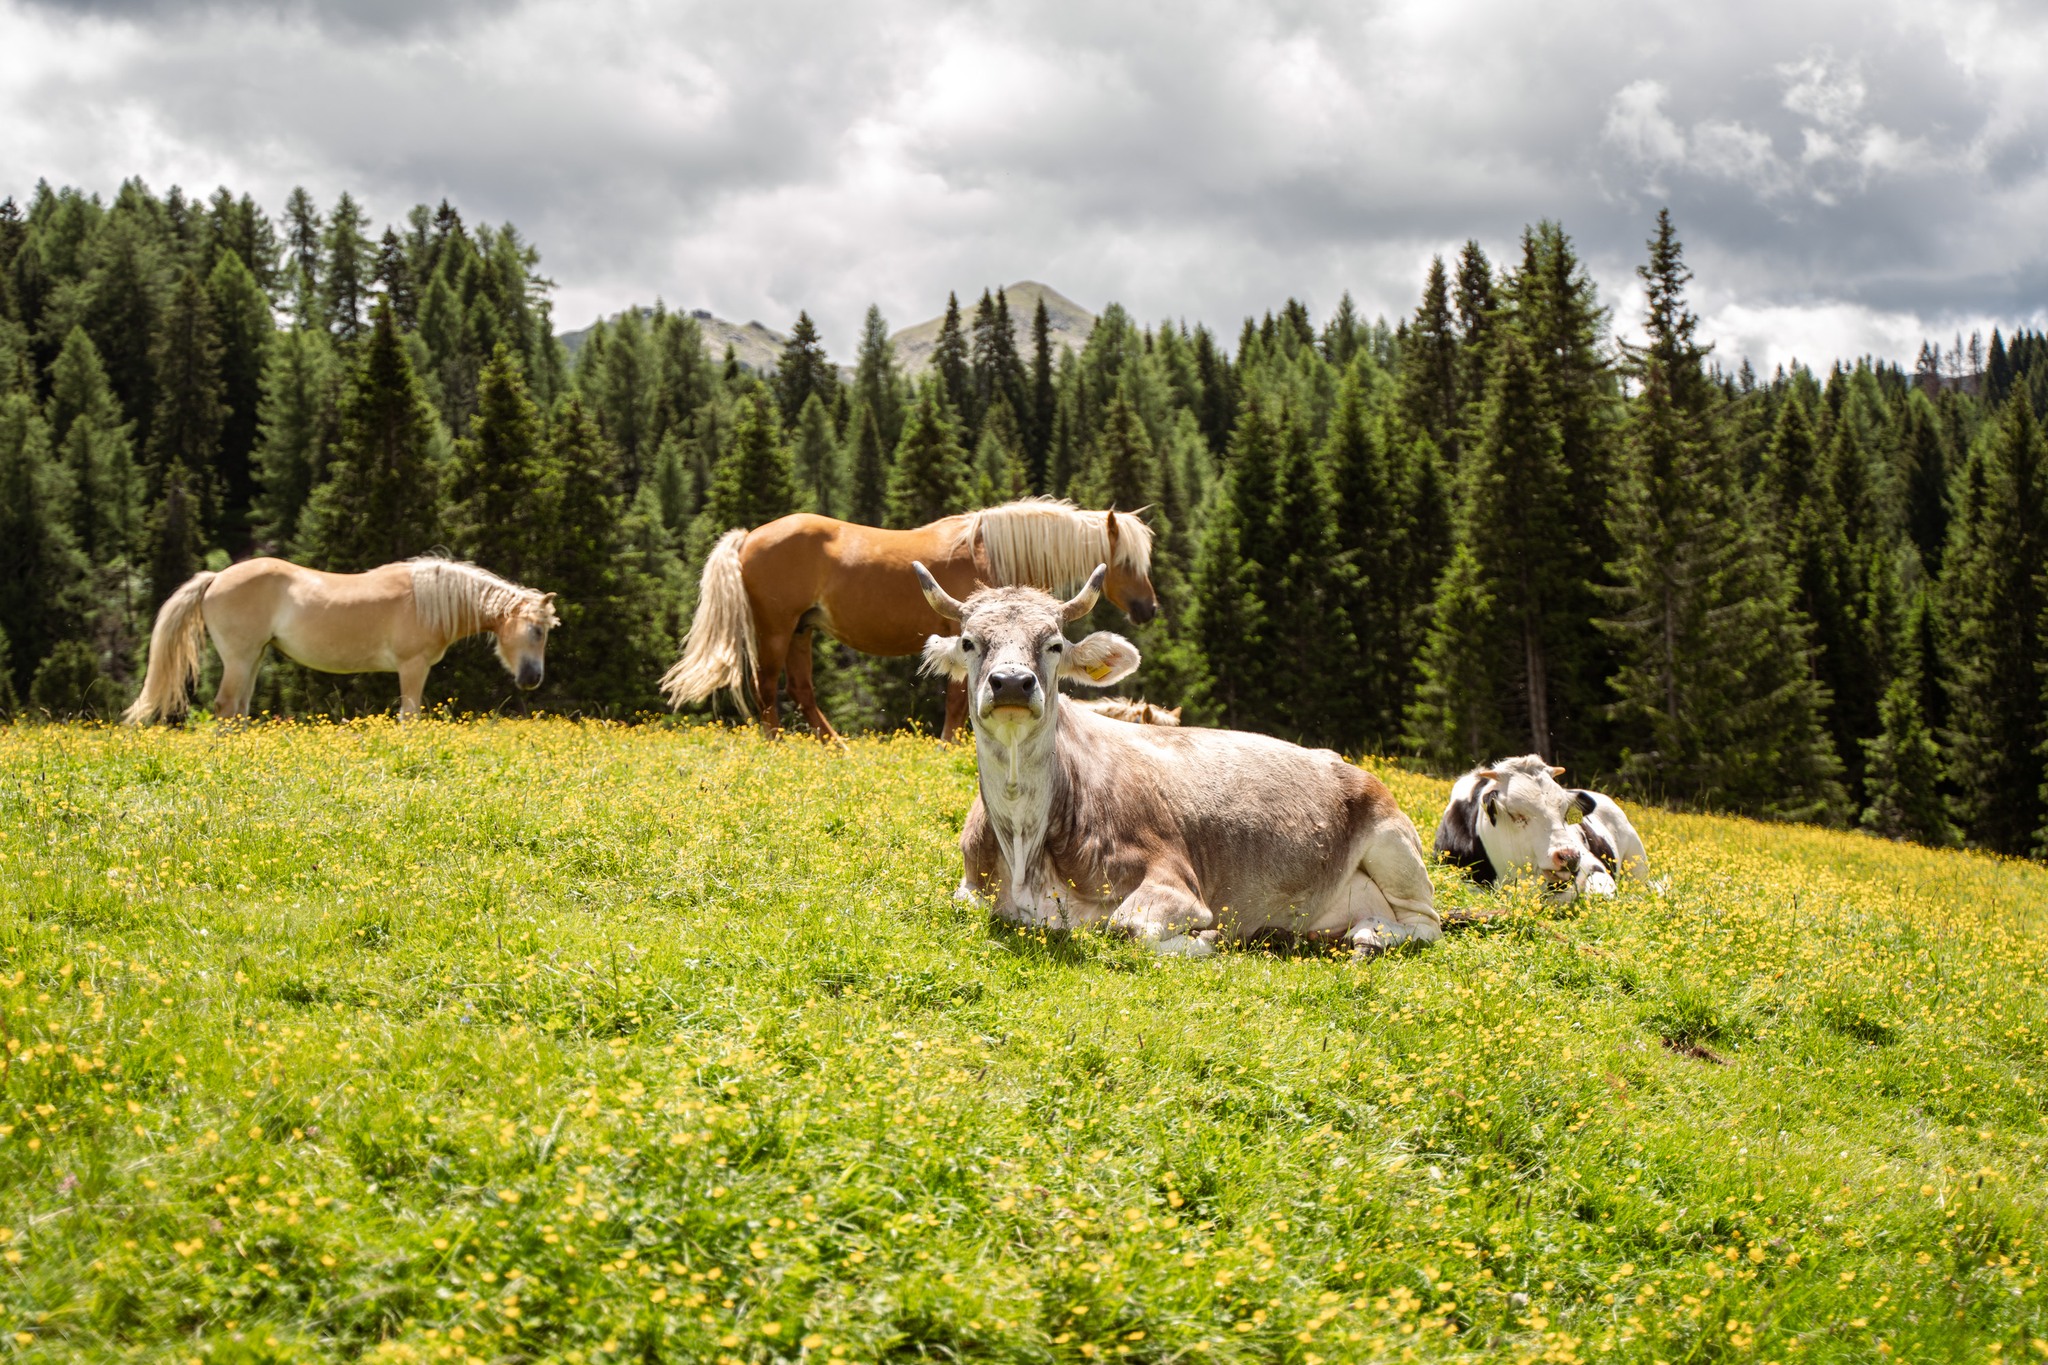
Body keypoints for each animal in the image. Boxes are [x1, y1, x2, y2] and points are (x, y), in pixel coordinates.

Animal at [914, 562, 1440, 957]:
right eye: (969, 642)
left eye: (1054, 644)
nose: (1011, 683)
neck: (1025, 841)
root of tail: (1344, 763)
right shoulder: (969, 886)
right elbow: (965, 903)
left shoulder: (1173, 880)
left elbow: (1128, 927)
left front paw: (1207, 939)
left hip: (1393, 844)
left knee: (1425, 923)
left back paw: (1367, 936)